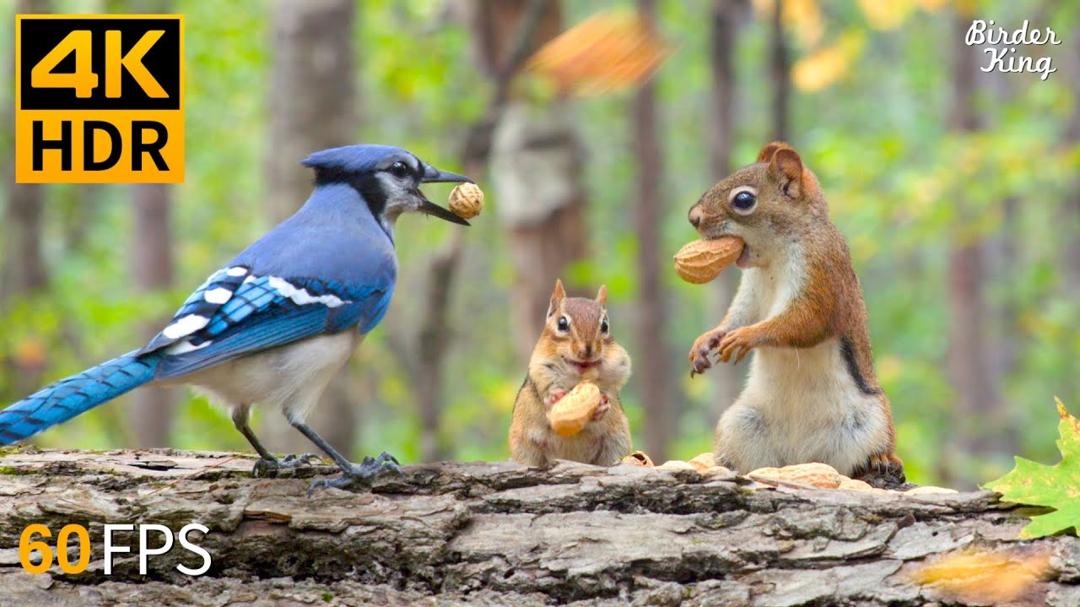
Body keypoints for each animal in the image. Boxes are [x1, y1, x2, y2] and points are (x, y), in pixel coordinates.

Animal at [509, 279, 632, 467]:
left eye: (605, 325)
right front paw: (553, 397)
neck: (576, 380)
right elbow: (545, 395)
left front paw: (602, 405)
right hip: (524, 447)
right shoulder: (539, 374)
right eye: (562, 323)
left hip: (617, 443)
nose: (587, 350)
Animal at [686, 142, 904, 487]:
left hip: (869, 421)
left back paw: (881, 459)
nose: (693, 217)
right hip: (741, 424)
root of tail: (800, 455)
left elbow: (805, 322)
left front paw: (746, 337)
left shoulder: (822, 273)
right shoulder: (751, 292)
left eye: (744, 200)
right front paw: (707, 341)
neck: (771, 257)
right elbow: (738, 315)